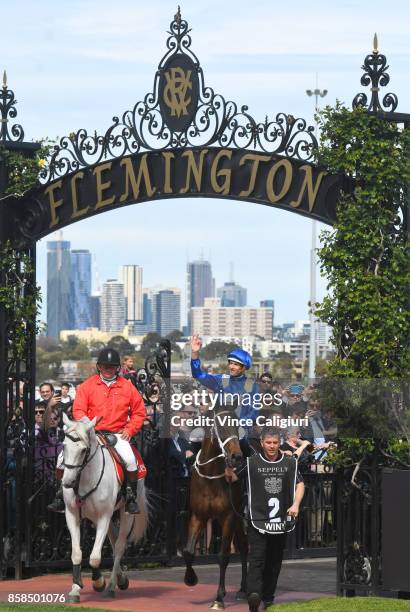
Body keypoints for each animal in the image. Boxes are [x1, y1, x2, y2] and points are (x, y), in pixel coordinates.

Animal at [61, 412, 148, 604]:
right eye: (64, 447)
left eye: (83, 450)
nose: (68, 482)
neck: (85, 478)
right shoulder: (72, 515)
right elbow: (77, 553)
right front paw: (75, 589)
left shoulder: (104, 516)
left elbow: (94, 557)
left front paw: (99, 582)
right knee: (113, 540)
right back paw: (121, 580)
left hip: (125, 514)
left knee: (119, 545)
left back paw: (112, 586)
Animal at [183, 408, 247, 608]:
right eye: (221, 426)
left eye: (236, 424)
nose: (237, 457)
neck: (210, 477)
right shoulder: (198, 516)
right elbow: (188, 552)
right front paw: (190, 579)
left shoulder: (228, 517)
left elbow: (223, 556)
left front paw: (218, 598)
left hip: (239, 515)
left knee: (244, 547)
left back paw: (244, 589)